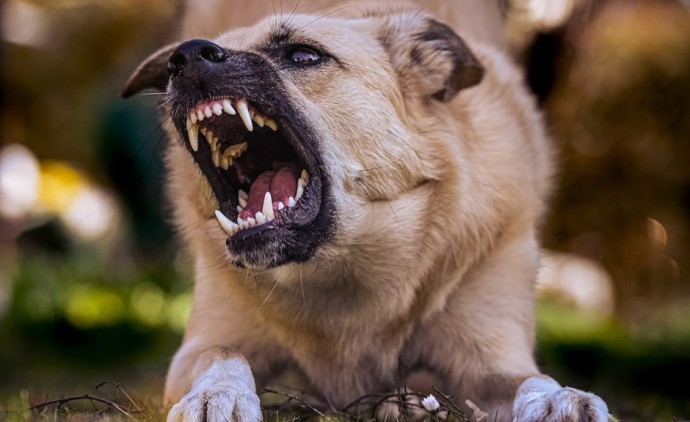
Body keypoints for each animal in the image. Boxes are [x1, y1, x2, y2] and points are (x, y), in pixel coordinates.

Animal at [123, 1, 608, 420]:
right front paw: (216, 394)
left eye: (303, 55)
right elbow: (223, 353)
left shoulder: (489, 358)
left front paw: (559, 398)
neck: (342, 269)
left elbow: (531, 379)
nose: (185, 57)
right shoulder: (203, 344)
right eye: (178, 62)